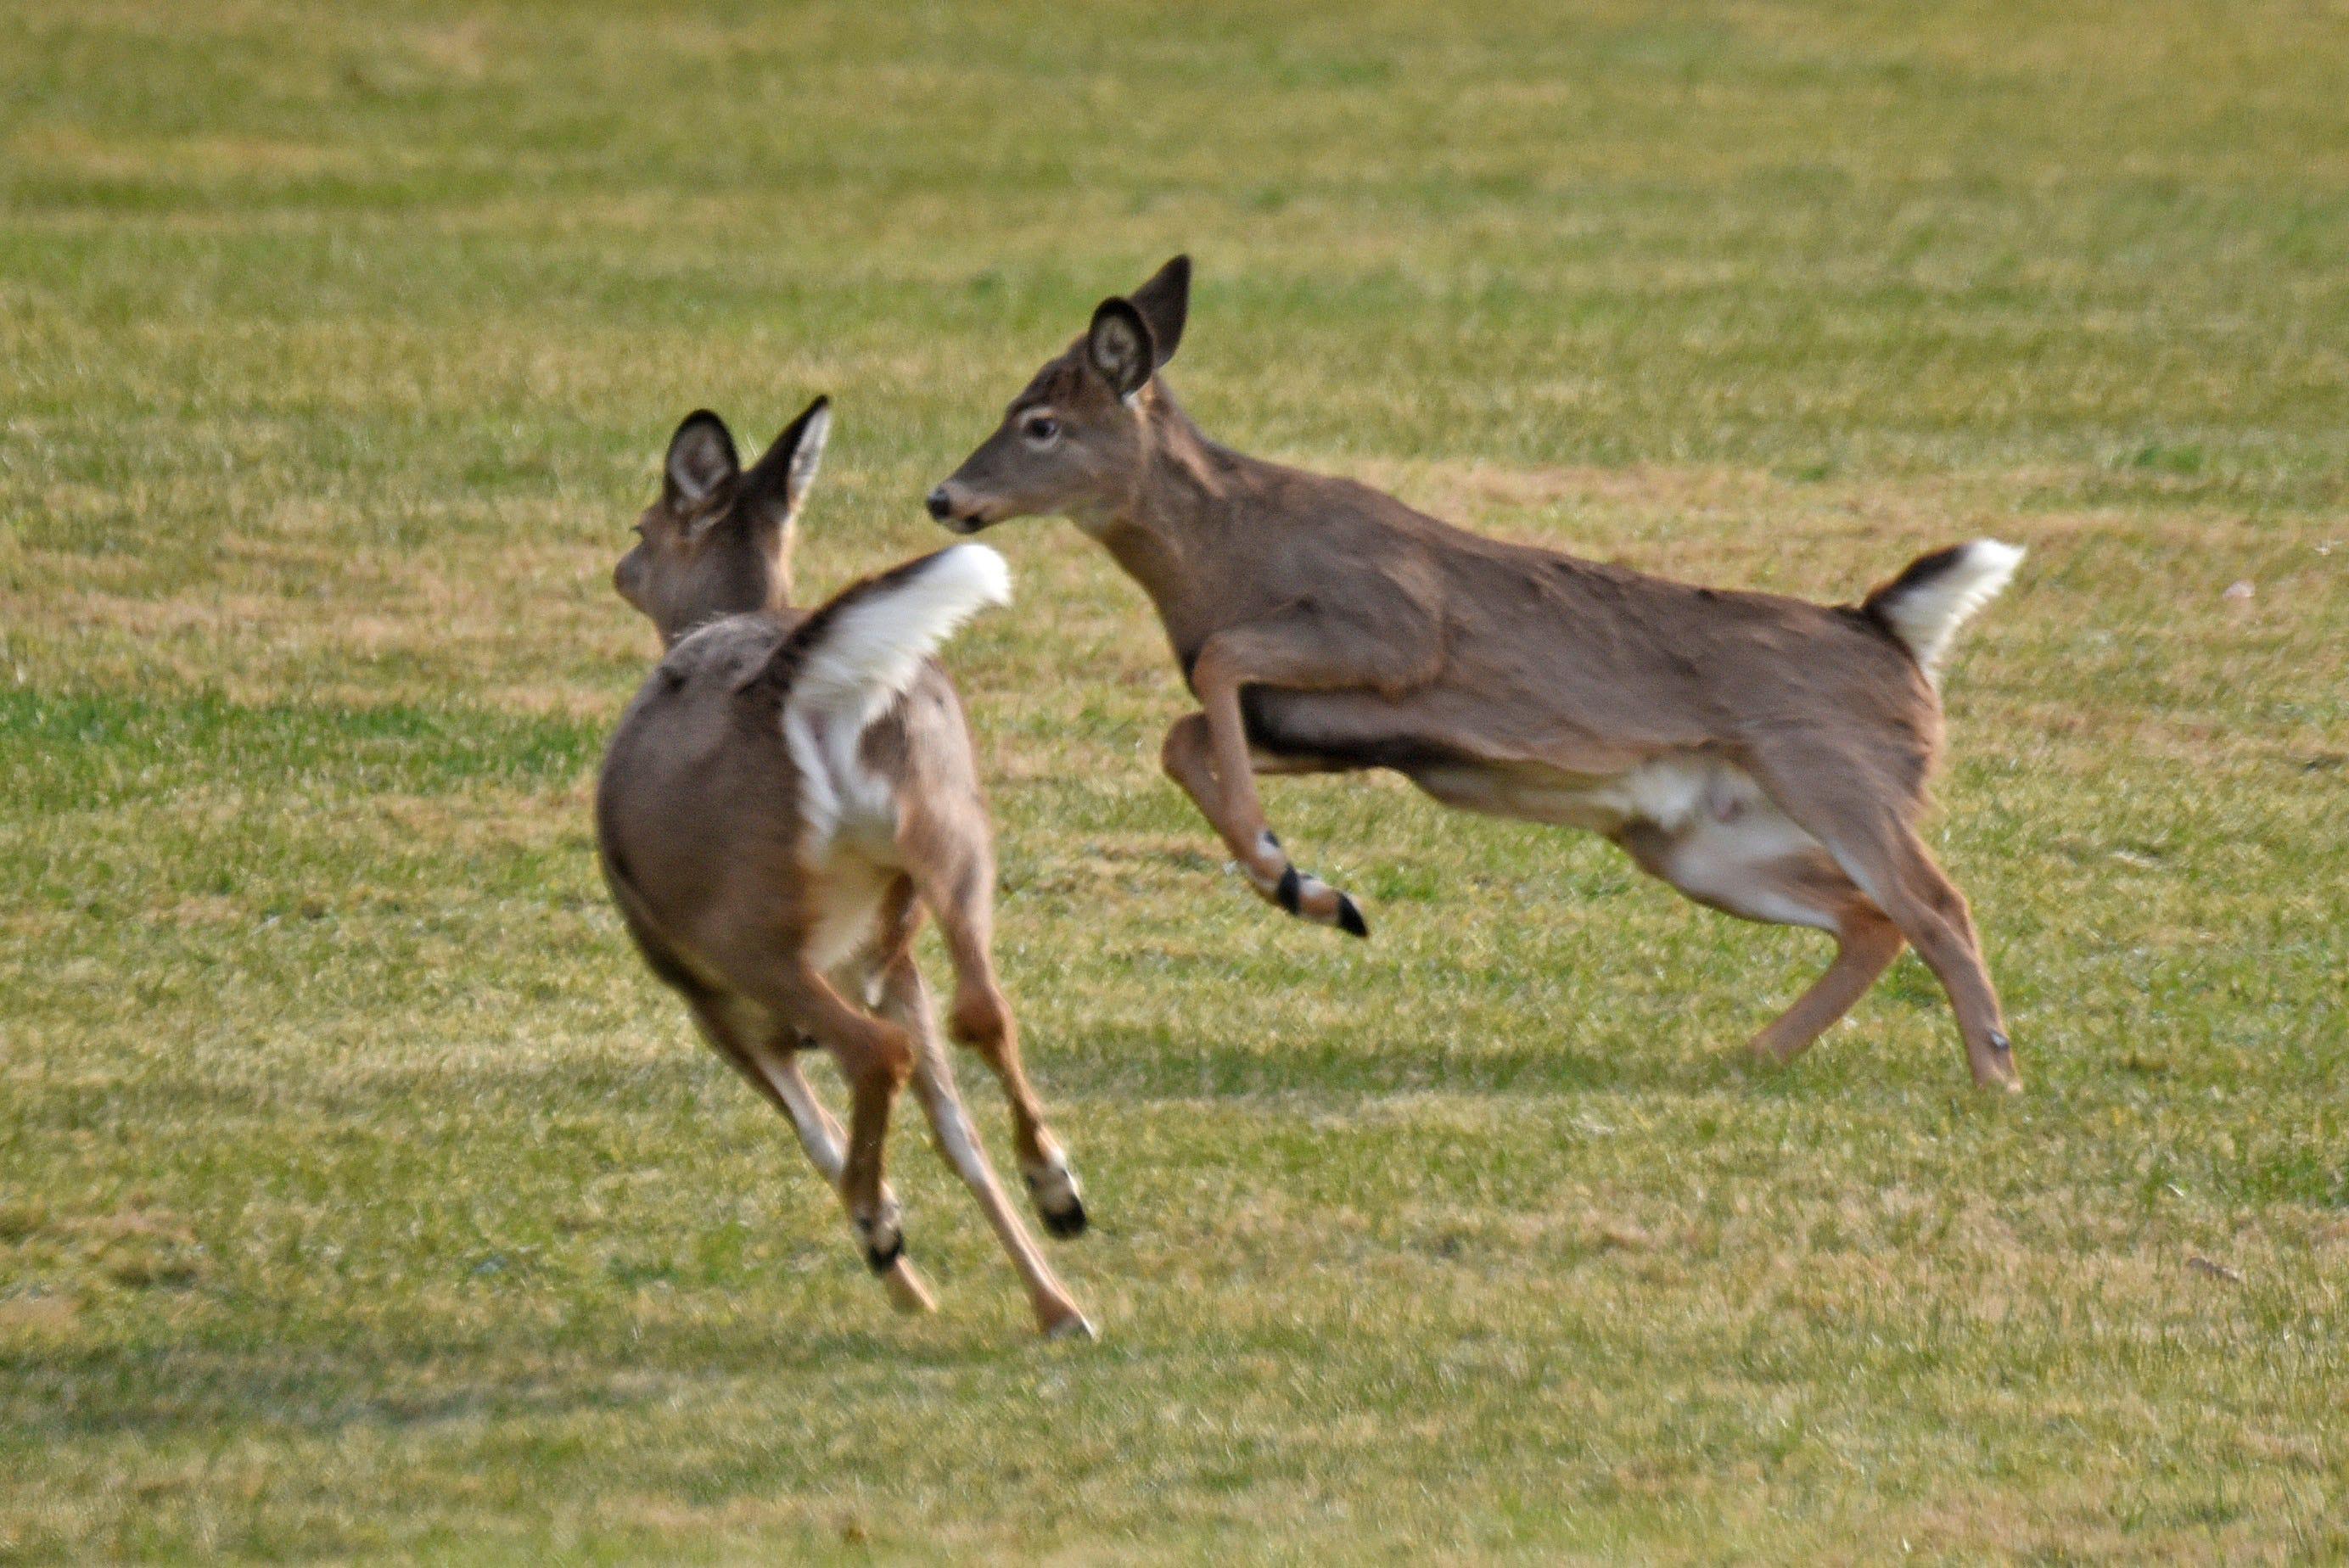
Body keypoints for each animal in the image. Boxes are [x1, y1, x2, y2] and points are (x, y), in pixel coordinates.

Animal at [597, 399, 1090, 1342]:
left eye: (646, 525)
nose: (620, 566)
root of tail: (793, 682)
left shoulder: (704, 998)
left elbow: (814, 1131)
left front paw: (904, 1270)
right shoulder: (884, 961)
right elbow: (955, 1132)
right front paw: (1057, 1307)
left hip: (743, 928)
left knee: (871, 1054)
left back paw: (875, 1225)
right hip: (947, 827)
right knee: (982, 1009)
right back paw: (1059, 1193)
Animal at [925, 256, 2029, 1089]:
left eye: (1041, 424)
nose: (944, 497)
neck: (1229, 554)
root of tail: (1888, 629)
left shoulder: (1393, 629)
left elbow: (1217, 673)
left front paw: (1293, 876)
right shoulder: (1318, 725)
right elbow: (1185, 729)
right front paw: (1306, 886)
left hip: (1836, 771)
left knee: (1935, 905)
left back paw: (1993, 1076)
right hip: (1691, 840)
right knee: (1869, 918)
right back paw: (1748, 1054)